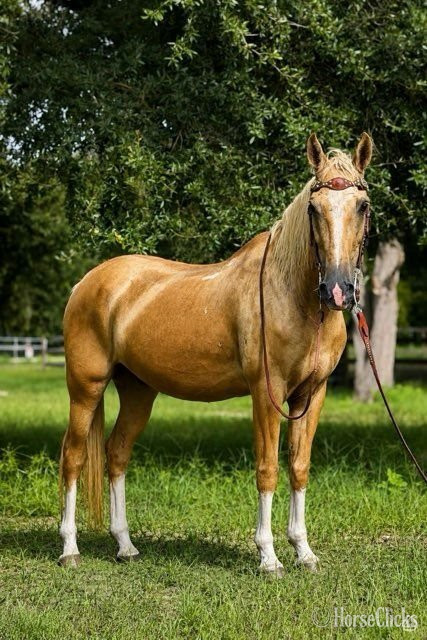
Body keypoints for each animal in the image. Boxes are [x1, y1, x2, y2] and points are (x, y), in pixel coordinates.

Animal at [59, 132, 373, 575]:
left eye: (362, 206)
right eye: (314, 208)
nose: (338, 290)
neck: (292, 296)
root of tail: (86, 282)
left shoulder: (311, 396)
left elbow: (298, 467)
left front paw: (304, 551)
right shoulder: (266, 394)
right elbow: (267, 469)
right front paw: (269, 557)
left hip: (138, 391)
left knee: (116, 454)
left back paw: (126, 545)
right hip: (85, 388)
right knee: (72, 457)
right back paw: (69, 549)